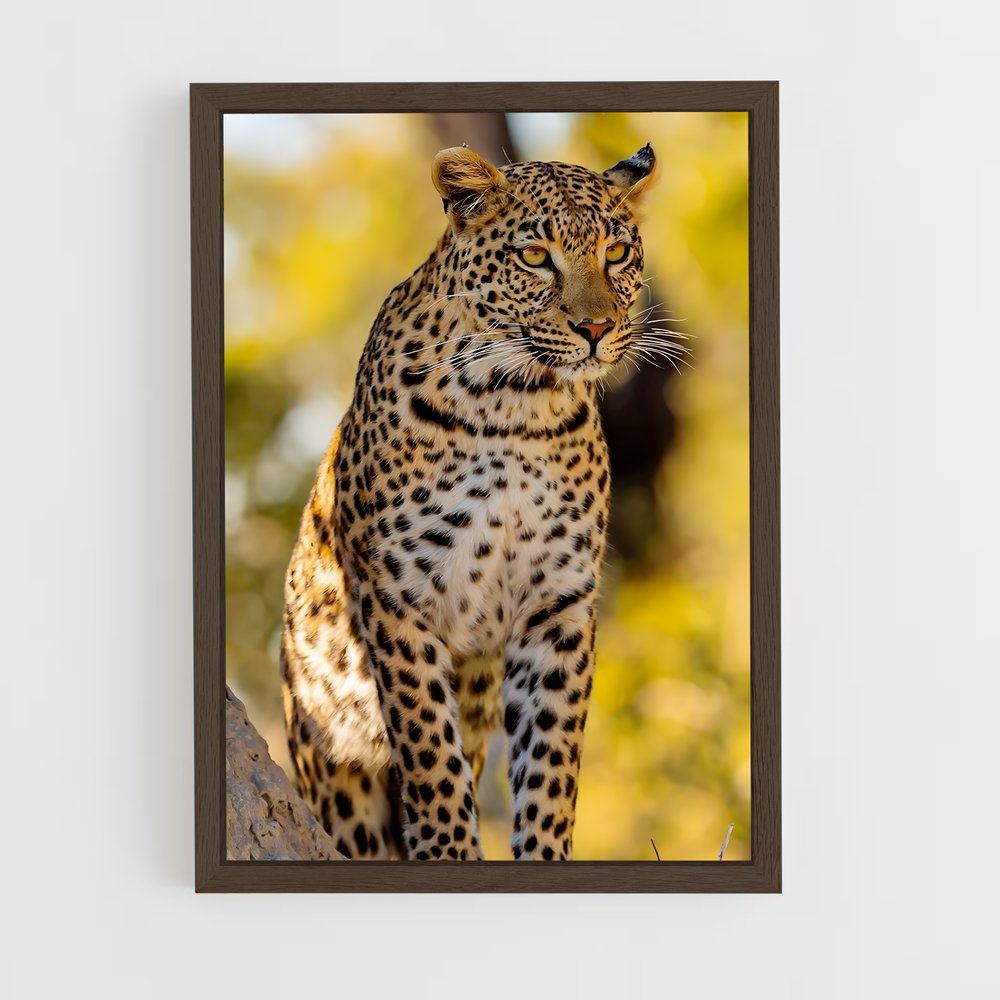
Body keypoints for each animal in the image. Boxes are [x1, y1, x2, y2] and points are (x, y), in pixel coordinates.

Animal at [281, 142, 657, 861]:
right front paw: (451, 852)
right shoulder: (399, 596)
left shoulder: (557, 604)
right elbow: (431, 751)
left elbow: (552, 760)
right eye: (535, 255)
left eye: (618, 253)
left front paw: (545, 853)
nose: (597, 327)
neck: (515, 405)